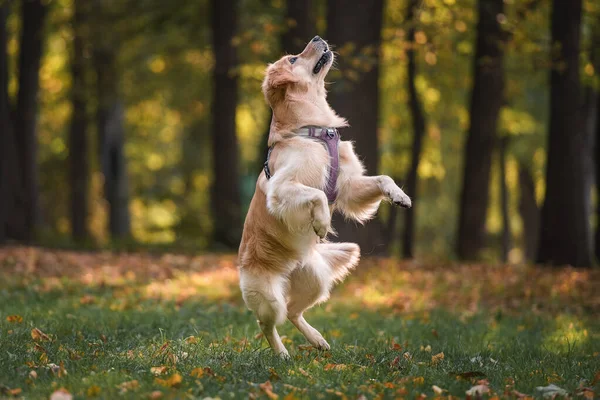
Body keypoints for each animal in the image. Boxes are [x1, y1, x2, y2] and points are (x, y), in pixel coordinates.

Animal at [237, 36, 410, 356]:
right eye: (293, 59)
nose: (318, 38)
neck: (314, 131)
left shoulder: (349, 186)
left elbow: (383, 178)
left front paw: (399, 195)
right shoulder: (281, 188)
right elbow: (317, 193)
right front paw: (322, 222)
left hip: (315, 281)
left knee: (294, 312)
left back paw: (317, 339)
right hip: (268, 298)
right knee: (267, 323)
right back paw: (282, 353)